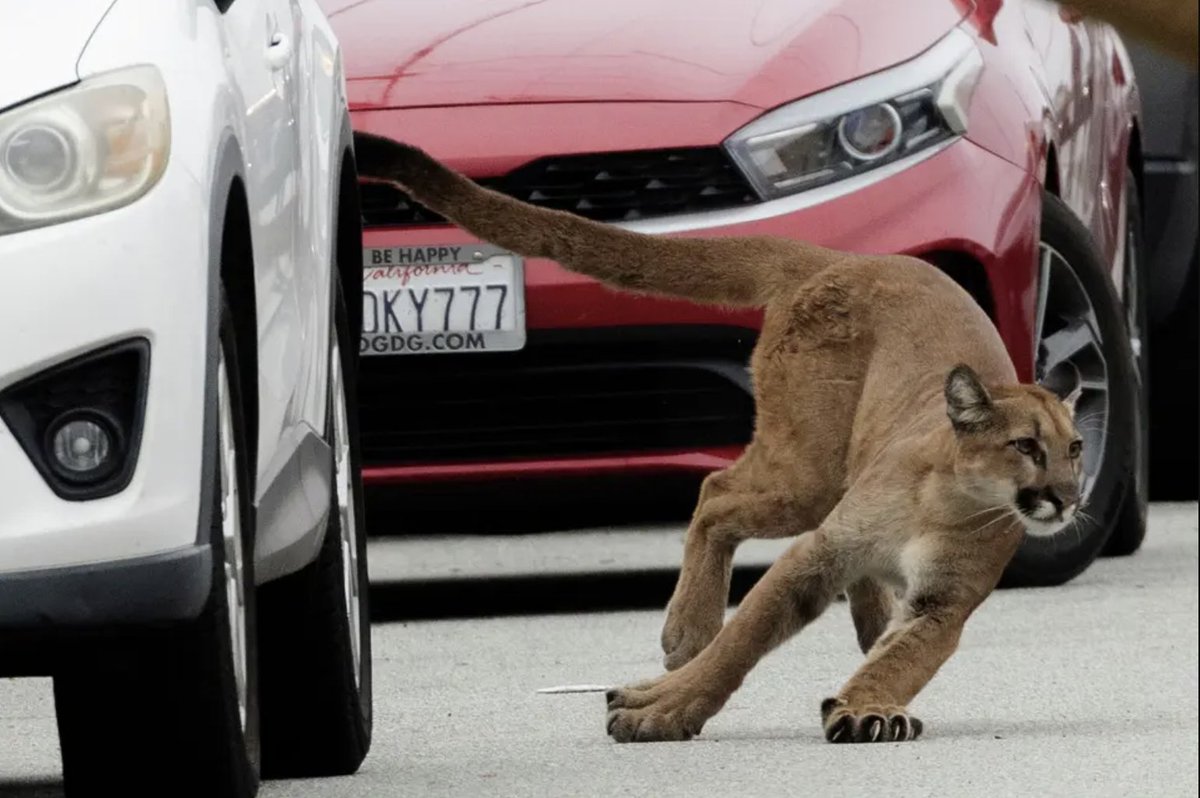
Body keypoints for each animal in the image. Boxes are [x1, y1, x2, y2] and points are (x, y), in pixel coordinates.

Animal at [356, 133, 1086, 744]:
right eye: (1026, 446)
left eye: (1075, 449)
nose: (1070, 498)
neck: (950, 501)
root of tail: (837, 258)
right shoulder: (819, 553)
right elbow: (743, 641)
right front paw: (667, 710)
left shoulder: (941, 602)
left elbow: (905, 659)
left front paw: (869, 707)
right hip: (808, 474)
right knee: (715, 493)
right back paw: (688, 632)